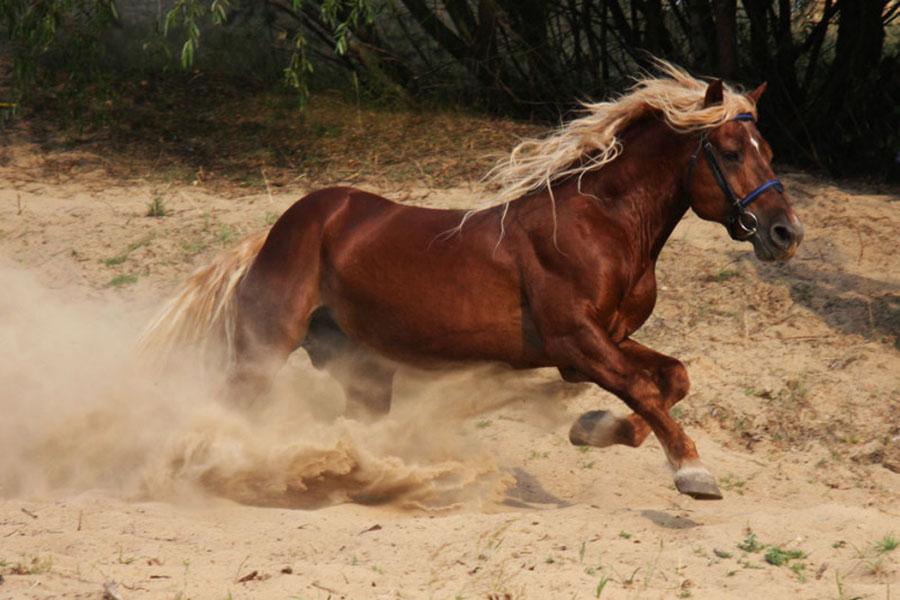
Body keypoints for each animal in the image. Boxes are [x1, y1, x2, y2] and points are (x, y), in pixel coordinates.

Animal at [141, 62, 800, 502]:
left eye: (768, 148)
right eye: (731, 150)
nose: (785, 233)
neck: (604, 226)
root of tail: (277, 230)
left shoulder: (607, 338)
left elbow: (672, 378)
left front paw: (593, 430)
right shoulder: (576, 342)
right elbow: (643, 387)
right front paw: (693, 473)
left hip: (360, 366)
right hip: (265, 347)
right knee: (227, 409)